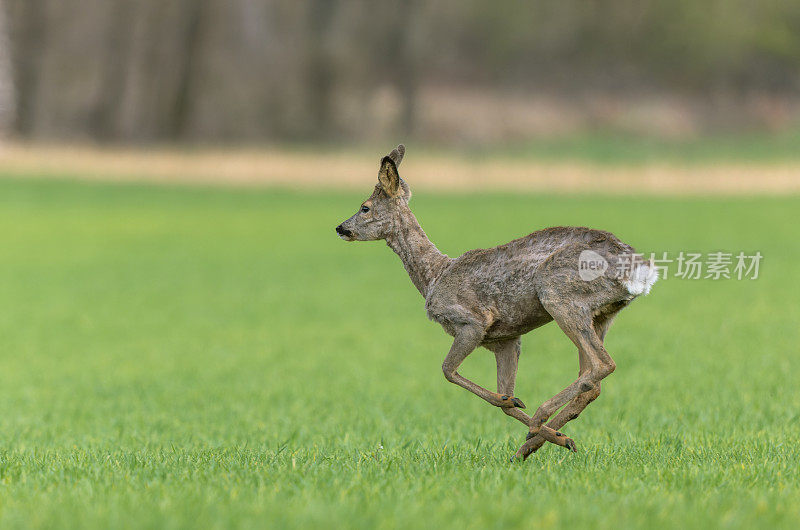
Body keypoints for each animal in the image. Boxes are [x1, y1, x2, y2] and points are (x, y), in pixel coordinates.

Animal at [336, 144, 656, 458]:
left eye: (365, 207)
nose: (340, 228)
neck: (434, 276)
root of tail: (638, 268)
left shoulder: (472, 322)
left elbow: (448, 371)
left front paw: (520, 409)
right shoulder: (506, 339)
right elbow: (505, 397)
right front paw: (541, 426)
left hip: (558, 296)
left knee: (602, 365)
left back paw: (540, 418)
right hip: (601, 315)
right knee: (592, 380)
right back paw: (535, 443)